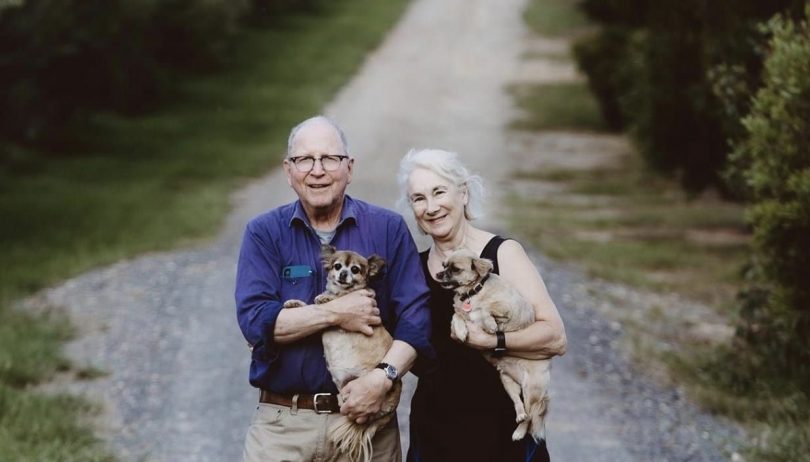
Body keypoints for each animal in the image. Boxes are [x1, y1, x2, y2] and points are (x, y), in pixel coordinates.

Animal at [282, 247, 400, 462]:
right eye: (337, 266)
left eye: (355, 269)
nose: (343, 274)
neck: (342, 290)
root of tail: (391, 409)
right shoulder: (321, 323)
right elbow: (310, 308)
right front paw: (294, 303)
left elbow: (334, 301)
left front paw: (325, 298)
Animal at [436, 249, 548, 444]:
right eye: (444, 266)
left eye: (455, 269)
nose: (438, 274)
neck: (472, 293)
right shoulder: (461, 313)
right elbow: (456, 316)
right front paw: (460, 331)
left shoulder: (507, 308)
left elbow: (486, 308)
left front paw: (489, 324)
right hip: (507, 382)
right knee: (520, 407)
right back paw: (519, 416)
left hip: (531, 391)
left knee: (530, 418)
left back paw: (519, 433)